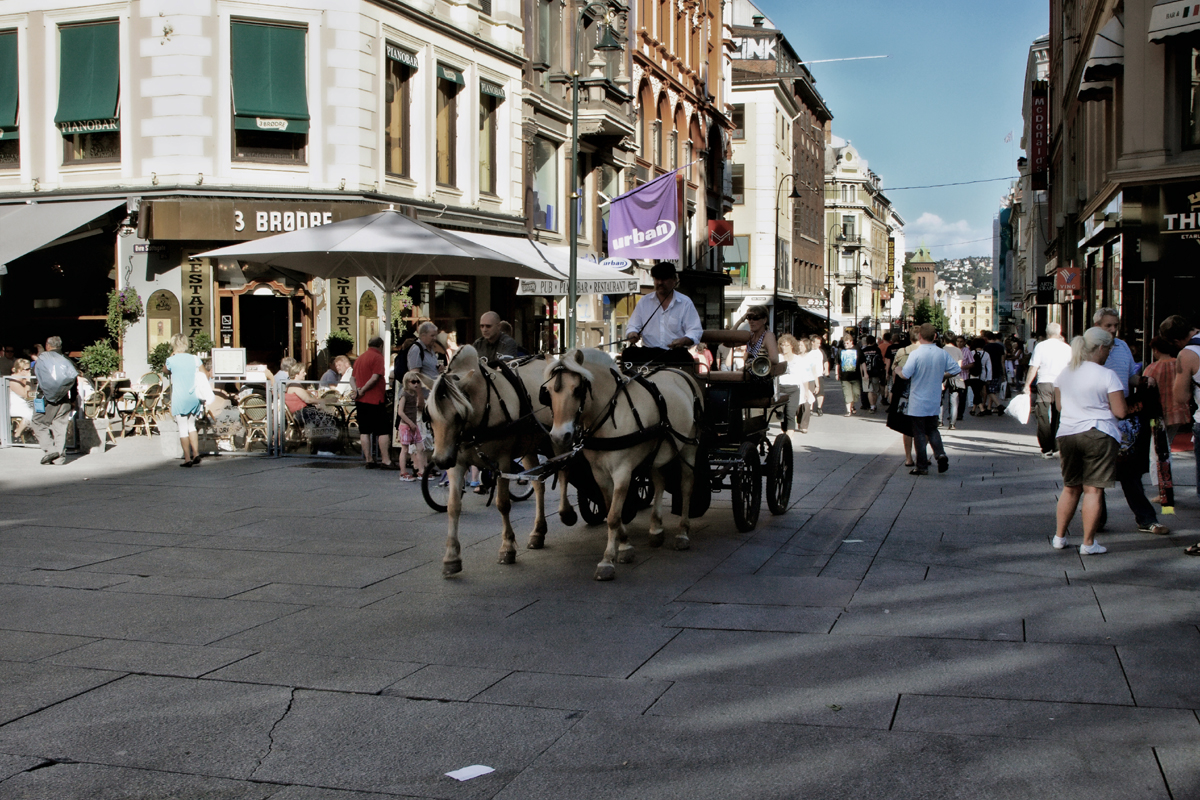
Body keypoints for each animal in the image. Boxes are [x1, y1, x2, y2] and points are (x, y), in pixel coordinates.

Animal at [424, 345, 578, 575]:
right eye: (429, 416)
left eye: (459, 415)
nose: (440, 461)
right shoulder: (456, 463)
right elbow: (453, 506)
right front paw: (451, 556)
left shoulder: (503, 460)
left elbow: (503, 503)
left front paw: (507, 548)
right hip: (529, 446)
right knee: (538, 485)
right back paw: (538, 531)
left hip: (559, 437)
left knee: (563, 472)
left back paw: (566, 512)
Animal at [544, 347, 700, 578]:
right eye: (548, 392)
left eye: (577, 389)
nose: (559, 436)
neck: (610, 413)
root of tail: (679, 371)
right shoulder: (599, 473)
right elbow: (611, 508)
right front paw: (625, 545)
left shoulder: (622, 471)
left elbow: (613, 516)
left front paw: (607, 560)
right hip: (658, 451)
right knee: (660, 482)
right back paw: (656, 528)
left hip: (689, 446)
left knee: (687, 486)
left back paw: (682, 532)